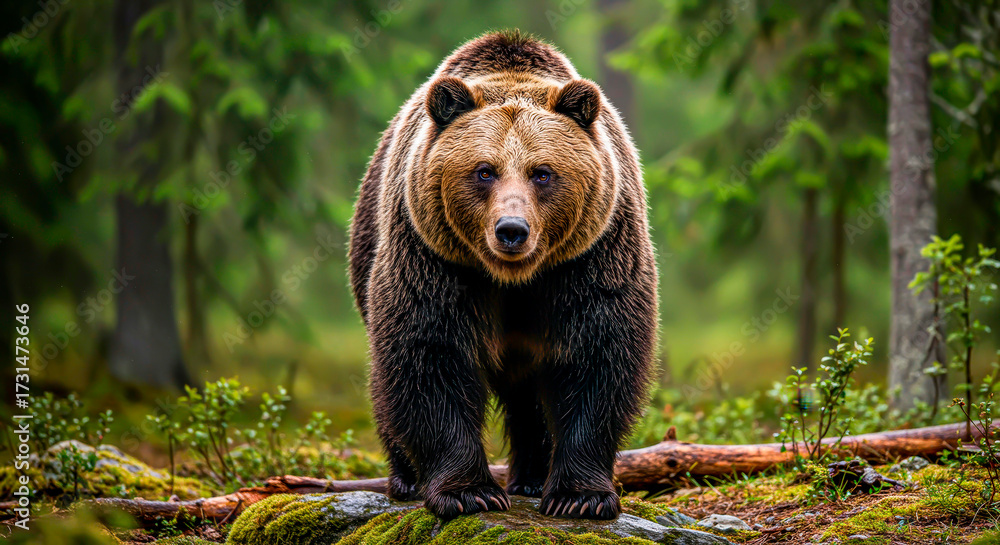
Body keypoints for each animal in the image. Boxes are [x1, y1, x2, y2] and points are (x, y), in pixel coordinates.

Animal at [348, 31, 658, 521]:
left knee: (529, 397)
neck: (514, 278)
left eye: (542, 173)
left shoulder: (593, 256)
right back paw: (406, 478)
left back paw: (531, 476)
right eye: (484, 171)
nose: (511, 229)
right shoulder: (436, 258)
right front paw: (467, 492)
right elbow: (431, 355)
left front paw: (580, 496)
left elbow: (597, 356)